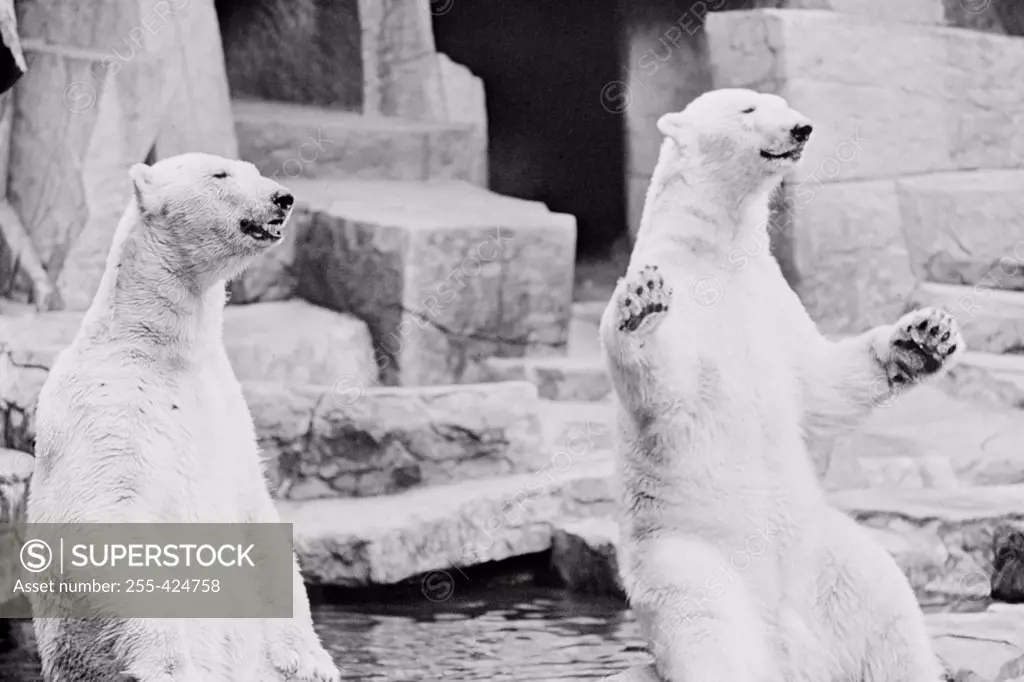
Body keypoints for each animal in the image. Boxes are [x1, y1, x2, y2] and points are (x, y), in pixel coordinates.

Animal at [28, 152, 337, 679]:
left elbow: (257, 511)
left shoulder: (226, 411)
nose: (282, 197)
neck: (160, 347)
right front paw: (169, 663)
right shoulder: (107, 405)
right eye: (220, 174)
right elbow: (111, 517)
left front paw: (311, 660)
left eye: (252, 169)